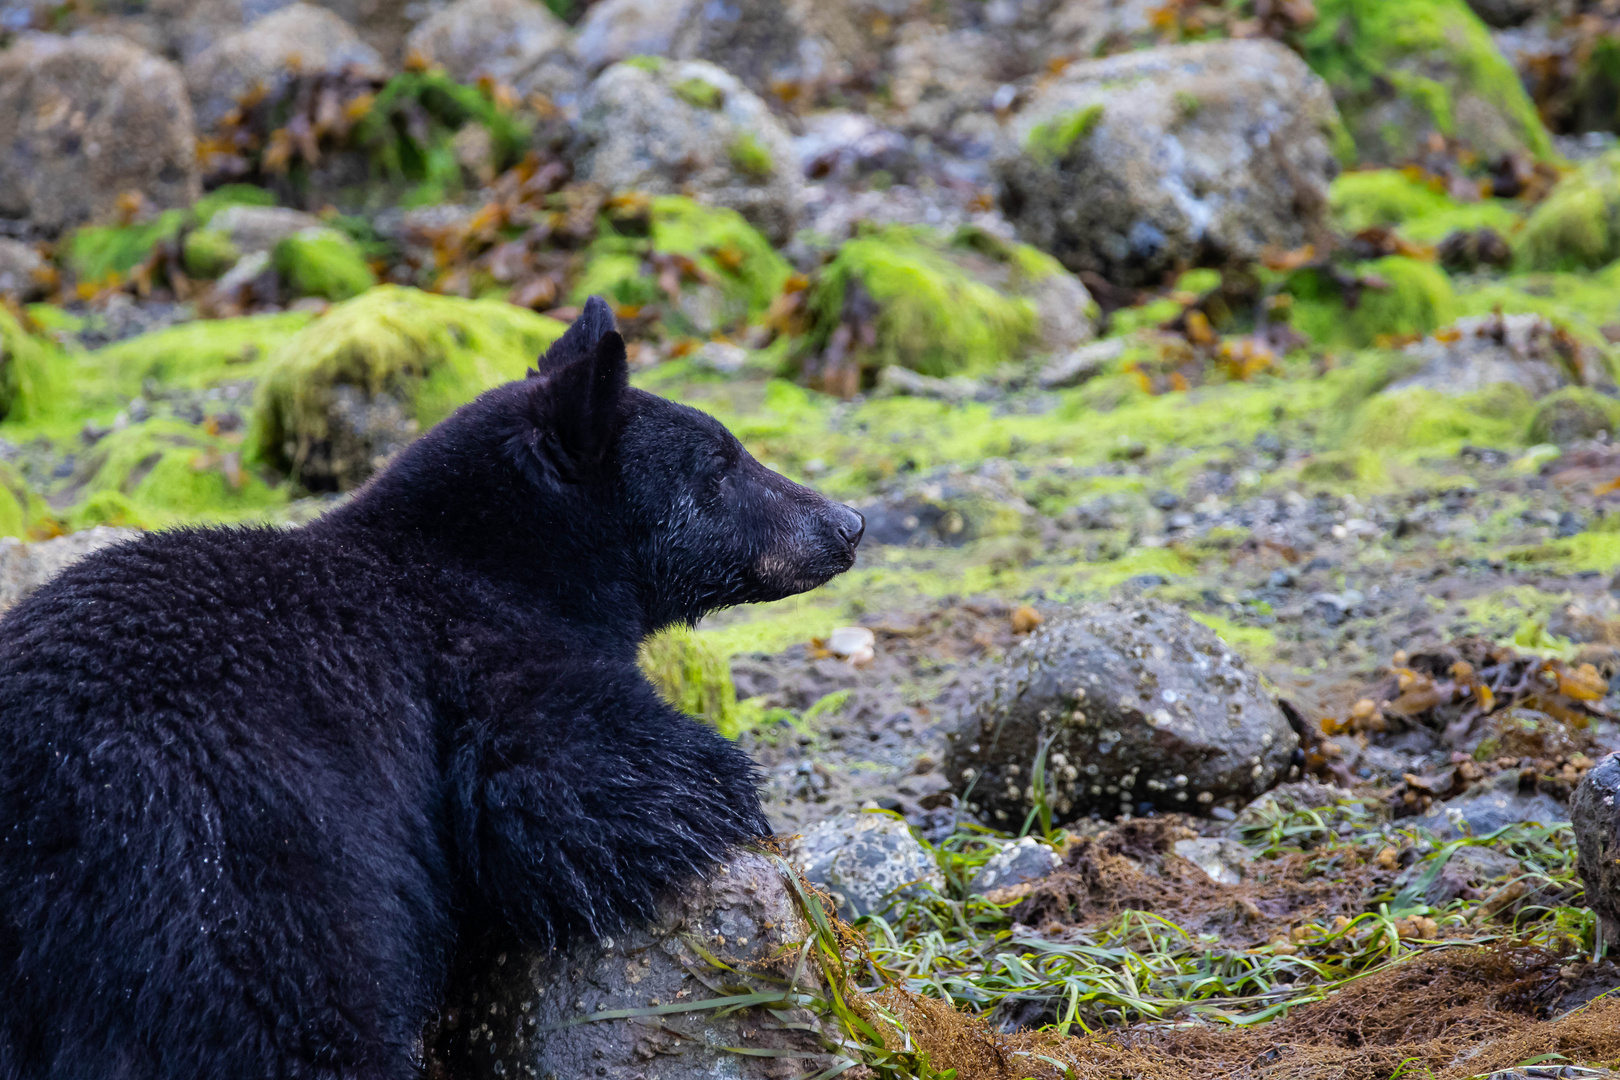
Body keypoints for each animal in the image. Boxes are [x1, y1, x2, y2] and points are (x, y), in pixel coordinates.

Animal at [0, 297, 868, 1080]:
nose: (848, 523)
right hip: (245, 882)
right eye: (719, 466)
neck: (498, 558)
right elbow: (580, 782)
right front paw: (737, 800)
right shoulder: (473, 657)